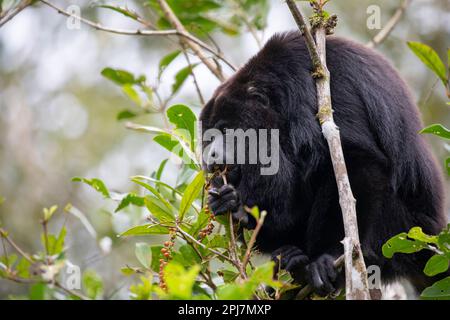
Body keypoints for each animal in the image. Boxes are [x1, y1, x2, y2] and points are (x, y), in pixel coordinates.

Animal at [200, 31, 446, 296]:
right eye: (208, 139)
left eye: (226, 130)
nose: (211, 156)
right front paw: (231, 204)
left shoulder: (331, 86)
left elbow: (357, 161)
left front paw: (330, 257)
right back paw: (290, 263)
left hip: (401, 234)